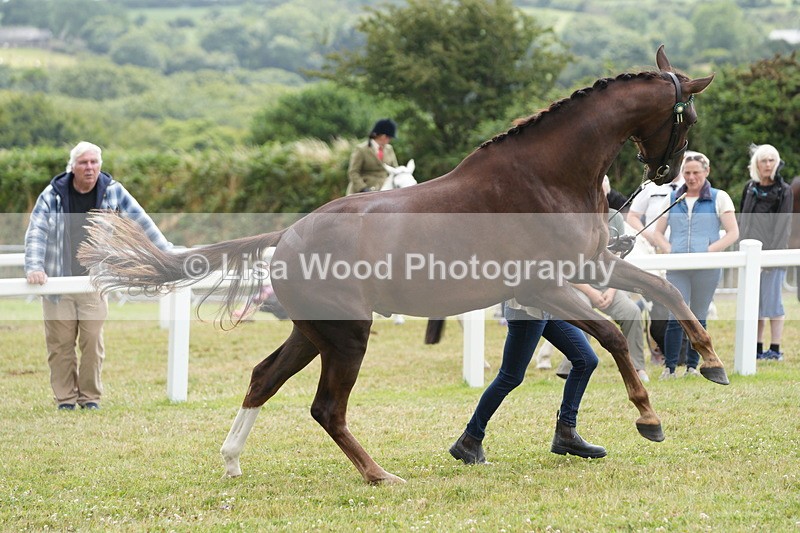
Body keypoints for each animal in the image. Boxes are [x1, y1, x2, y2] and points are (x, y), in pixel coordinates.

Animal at [78, 46, 727, 485]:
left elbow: (666, 292)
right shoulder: (550, 285)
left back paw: (234, 460)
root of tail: (287, 234)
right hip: (348, 335)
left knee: (264, 378)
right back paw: (378, 474)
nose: (670, 174)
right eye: (689, 118)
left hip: (315, 332)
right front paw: (648, 417)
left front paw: (713, 363)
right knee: (326, 408)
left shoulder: (592, 267)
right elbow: (614, 336)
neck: (547, 175)